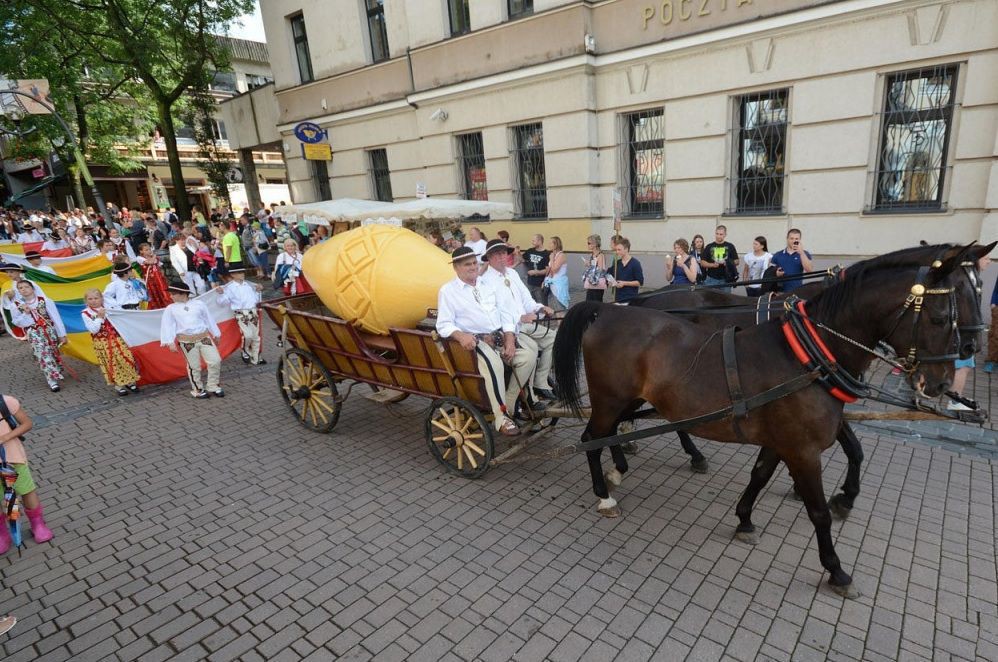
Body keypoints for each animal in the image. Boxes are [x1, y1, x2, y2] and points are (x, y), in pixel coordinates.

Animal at [552, 244, 984, 597]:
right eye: (942, 316)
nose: (942, 380)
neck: (807, 355)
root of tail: (609, 309)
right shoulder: (803, 450)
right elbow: (818, 511)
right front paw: (836, 568)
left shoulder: (782, 442)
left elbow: (761, 475)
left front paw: (745, 518)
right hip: (609, 400)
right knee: (592, 438)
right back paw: (605, 494)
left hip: (629, 400)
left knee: (612, 432)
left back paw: (623, 465)